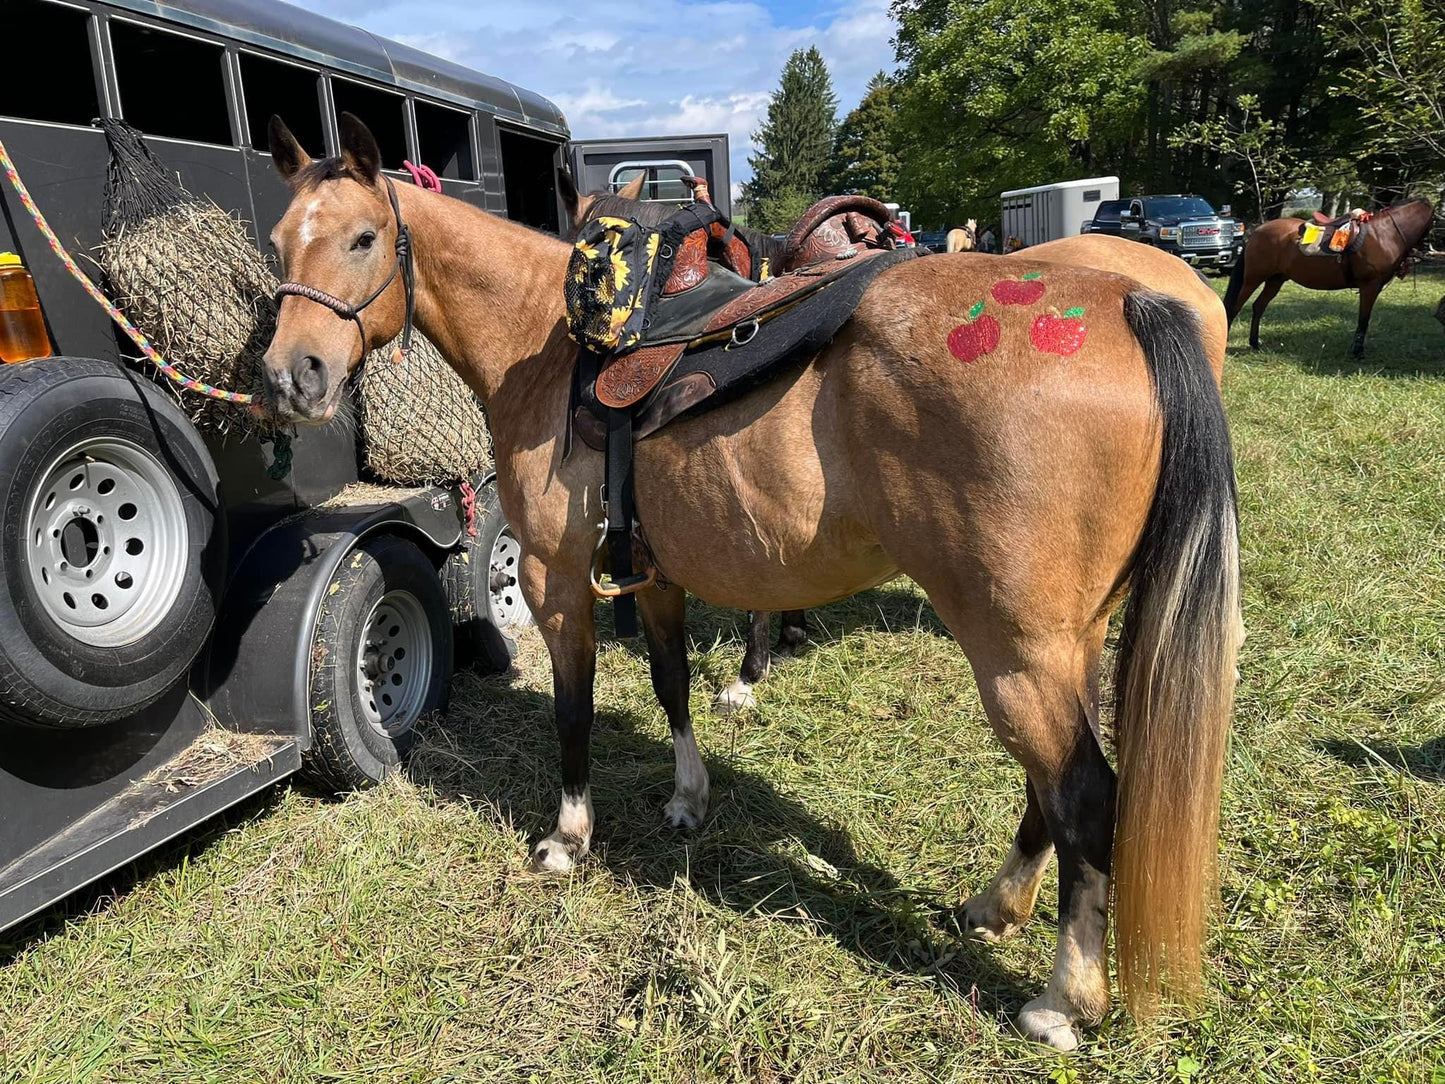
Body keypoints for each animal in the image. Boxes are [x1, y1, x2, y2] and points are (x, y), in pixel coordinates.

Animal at [260, 112, 1242, 1052]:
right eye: (276, 244)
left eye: (361, 239)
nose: (291, 375)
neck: (547, 347)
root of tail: (1129, 304)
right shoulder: (652, 574)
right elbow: (670, 684)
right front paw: (688, 799)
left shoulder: (557, 580)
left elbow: (573, 710)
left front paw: (568, 837)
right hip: (1065, 639)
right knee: (1052, 786)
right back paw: (997, 907)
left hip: (1013, 646)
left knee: (1082, 792)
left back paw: (1062, 1000)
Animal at [1219, 198, 1433, 358]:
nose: (1426, 249)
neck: (1385, 233)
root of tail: (1257, 232)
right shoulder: (1370, 286)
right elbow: (1363, 319)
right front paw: (1357, 352)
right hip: (1253, 278)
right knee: (1235, 307)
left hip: (1275, 280)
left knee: (1259, 306)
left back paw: (1255, 343)